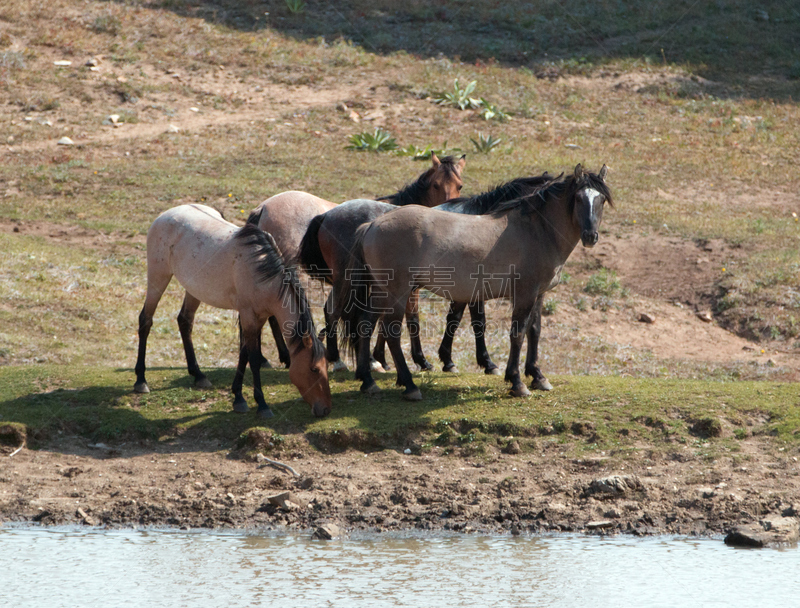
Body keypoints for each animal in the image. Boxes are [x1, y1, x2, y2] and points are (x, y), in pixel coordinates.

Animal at [134, 204, 332, 418]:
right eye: (314, 369)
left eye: (326, 366)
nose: (325, 409)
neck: (263, 273)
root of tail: (165, 215)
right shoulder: (248, 315)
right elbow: (253, 358)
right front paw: (262, 404)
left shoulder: (258, 318)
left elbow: (243, 354)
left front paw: (238, 397)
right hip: (158, 276)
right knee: (145, 320)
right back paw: (141, 379)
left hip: (194, 289)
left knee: (184, 321)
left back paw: (198, 375)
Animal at [250, 154, 462, 368]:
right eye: (436, 185)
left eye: (459, 185)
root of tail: (263, 208)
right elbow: (411, 317)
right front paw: (418, 359)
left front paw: (378, 357)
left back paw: (267, 358)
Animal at [338, 164, 612, 400]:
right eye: (579, 199)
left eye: (600, 200)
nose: (590, 236)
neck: (534, 231)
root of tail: (372, 224)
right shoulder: (524, 294)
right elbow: (517, 334)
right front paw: (516, 381)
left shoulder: (538, 294)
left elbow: (534, 331)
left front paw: (537, 376)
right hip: (397, 292)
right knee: (392, 331)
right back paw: (409, 385)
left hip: (381, 291)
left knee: (365, 324)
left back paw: (368, 381)